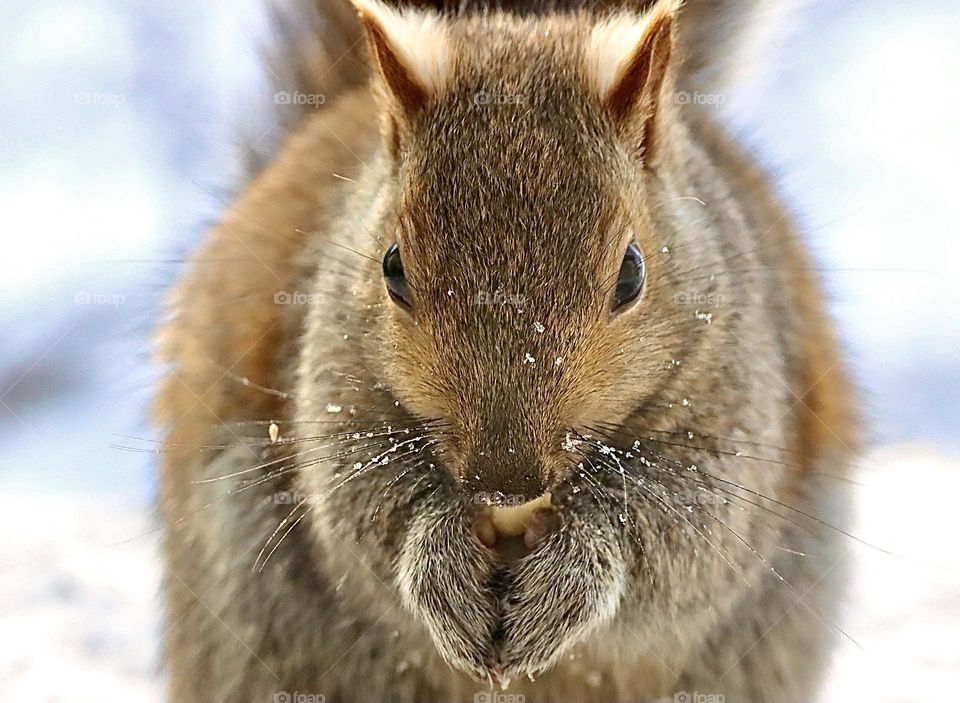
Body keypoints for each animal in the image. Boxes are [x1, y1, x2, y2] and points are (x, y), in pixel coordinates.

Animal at [155, 1, 859, 701]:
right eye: (392, 268)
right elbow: (363, 515)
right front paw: (442, 569)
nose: (504, 481)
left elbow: (686, 535)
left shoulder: (733, 402)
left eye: (632, 273)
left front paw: (569, 582)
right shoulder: (334, 385)